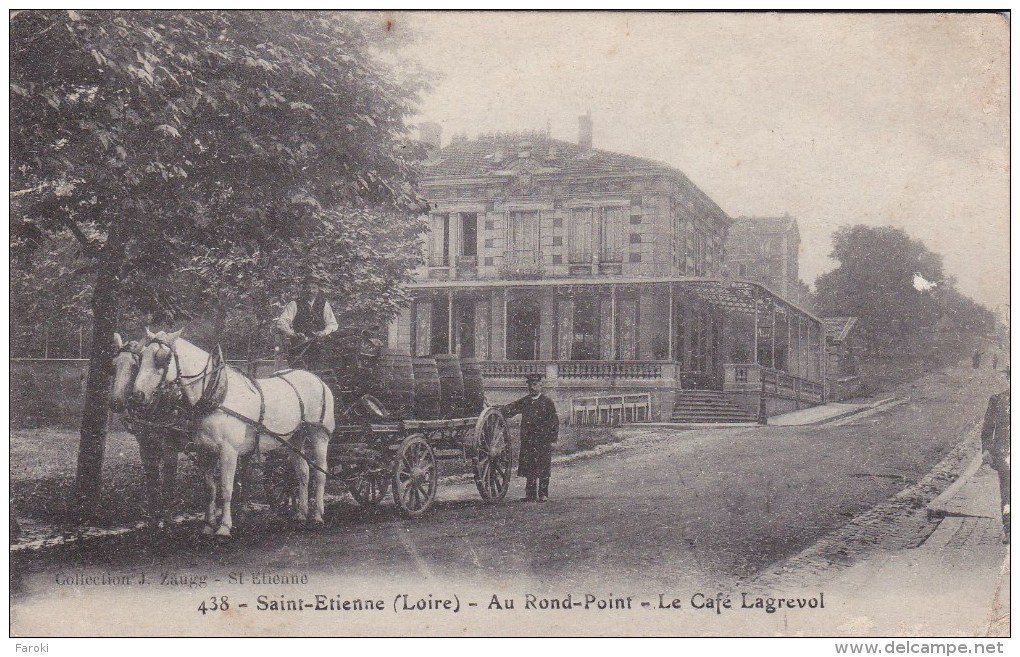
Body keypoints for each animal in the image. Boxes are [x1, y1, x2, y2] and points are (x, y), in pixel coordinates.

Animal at [131, 328, 334, 538]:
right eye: (140, 356)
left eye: (162, 358)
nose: (137, 396)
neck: (217, 394)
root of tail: (317, 379)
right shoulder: (205, 451)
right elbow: (210, 490)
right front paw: (207, 525)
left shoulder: (229, 451)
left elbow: (226, 489)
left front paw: (224, 527)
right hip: (295, 438)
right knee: (303, 472)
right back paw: (301, 514)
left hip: (319, 436)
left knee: (320, 473)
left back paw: (317, 515)